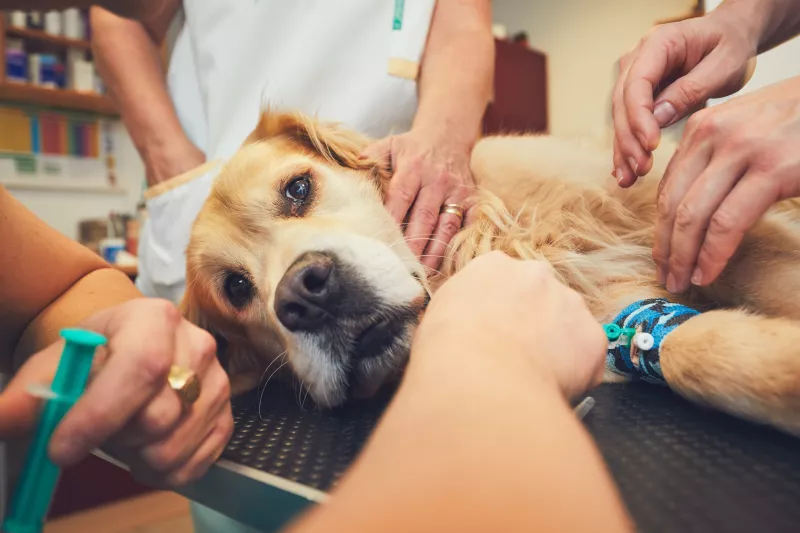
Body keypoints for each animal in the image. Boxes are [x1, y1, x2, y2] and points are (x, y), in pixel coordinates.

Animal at [181, 108, 800, 436]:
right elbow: (690, 350)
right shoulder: (614, 318)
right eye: (236, 289)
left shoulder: (689, 218)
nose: (306, 295)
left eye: (297, 189)